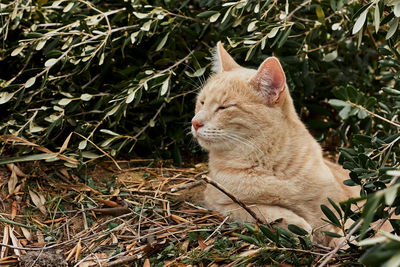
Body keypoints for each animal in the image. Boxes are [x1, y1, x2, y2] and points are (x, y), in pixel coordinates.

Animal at [191, 42, 360, 247]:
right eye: (202, 102)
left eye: (224, 107)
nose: (195, 122)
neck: (270, 164)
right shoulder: (220, 201)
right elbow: (264, 209)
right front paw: (300, 227)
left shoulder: (336, 202)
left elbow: (343, 218)